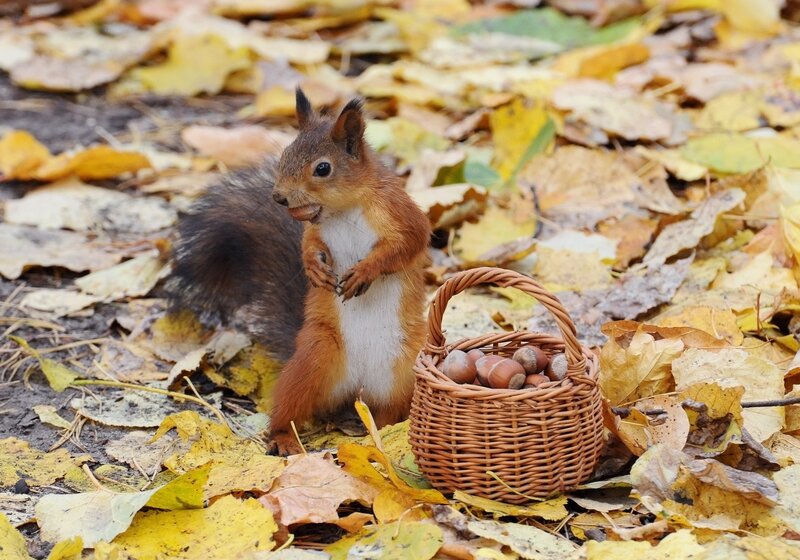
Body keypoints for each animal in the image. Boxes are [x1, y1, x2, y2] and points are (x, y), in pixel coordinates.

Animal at [170, 89, 431, 455]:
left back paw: (381, 432)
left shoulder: (401, 213)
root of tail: (357, 390)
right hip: (313, 358)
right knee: (290, 408)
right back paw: (285, 438)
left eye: (323, 168)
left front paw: (365, 271)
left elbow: (407, 244)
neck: (343, 210)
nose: (279, 197)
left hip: (406, 371)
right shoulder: (315, 231)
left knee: (391, 411)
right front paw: (313, 268)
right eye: (285, 154)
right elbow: (308, 244)